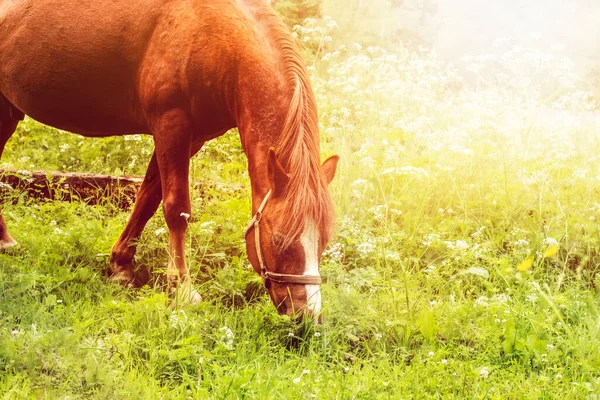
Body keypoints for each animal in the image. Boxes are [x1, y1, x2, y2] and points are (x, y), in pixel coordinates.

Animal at [0, 0, 338, 318]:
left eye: (323, 240)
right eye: (279, 239)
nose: (308, 317)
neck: (215, 36)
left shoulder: (192, 138)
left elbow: (148, 197)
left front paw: (122, 266)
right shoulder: (171, 126)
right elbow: (176, 209)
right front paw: (183, 288)